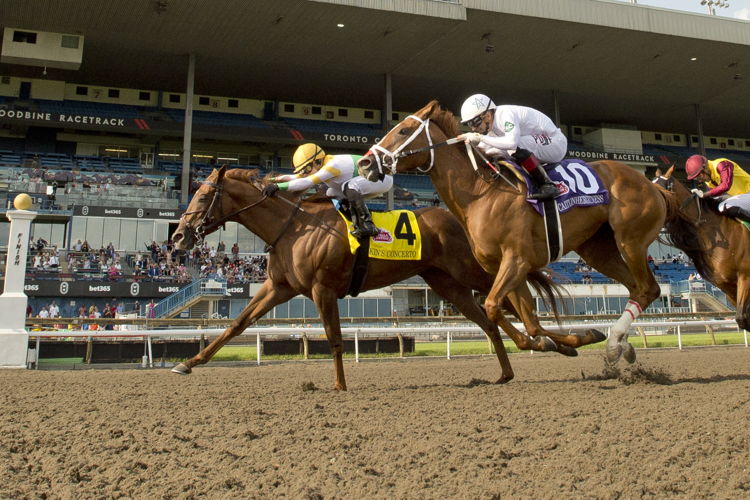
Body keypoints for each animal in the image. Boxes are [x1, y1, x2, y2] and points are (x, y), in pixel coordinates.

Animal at [170, 168, 592, 390]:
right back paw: (511, 369)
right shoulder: (279, 287)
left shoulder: (323, 288)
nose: (178, 237)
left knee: (511, 298)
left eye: (204, 195)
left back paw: (563, 341)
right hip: (445, 283)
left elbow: (335, 339)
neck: (294, 225)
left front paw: (339, 385)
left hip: (468, 270)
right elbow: (237, 324)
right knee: (489, 317)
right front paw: (188, 363)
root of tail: (462, 218)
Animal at [358, 99, 692, 362]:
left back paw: (614, 344)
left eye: (402, 131)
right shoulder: (505, 266)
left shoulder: (517, 260)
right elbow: (526, 320)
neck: (483, 192)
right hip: (598, 252)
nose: (364, 164)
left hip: (630, 240)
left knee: (649, 288)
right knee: (637, 290)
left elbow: (493, 306)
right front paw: (571, 340)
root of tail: (651, 183)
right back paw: (617, 344)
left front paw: (570, 340)